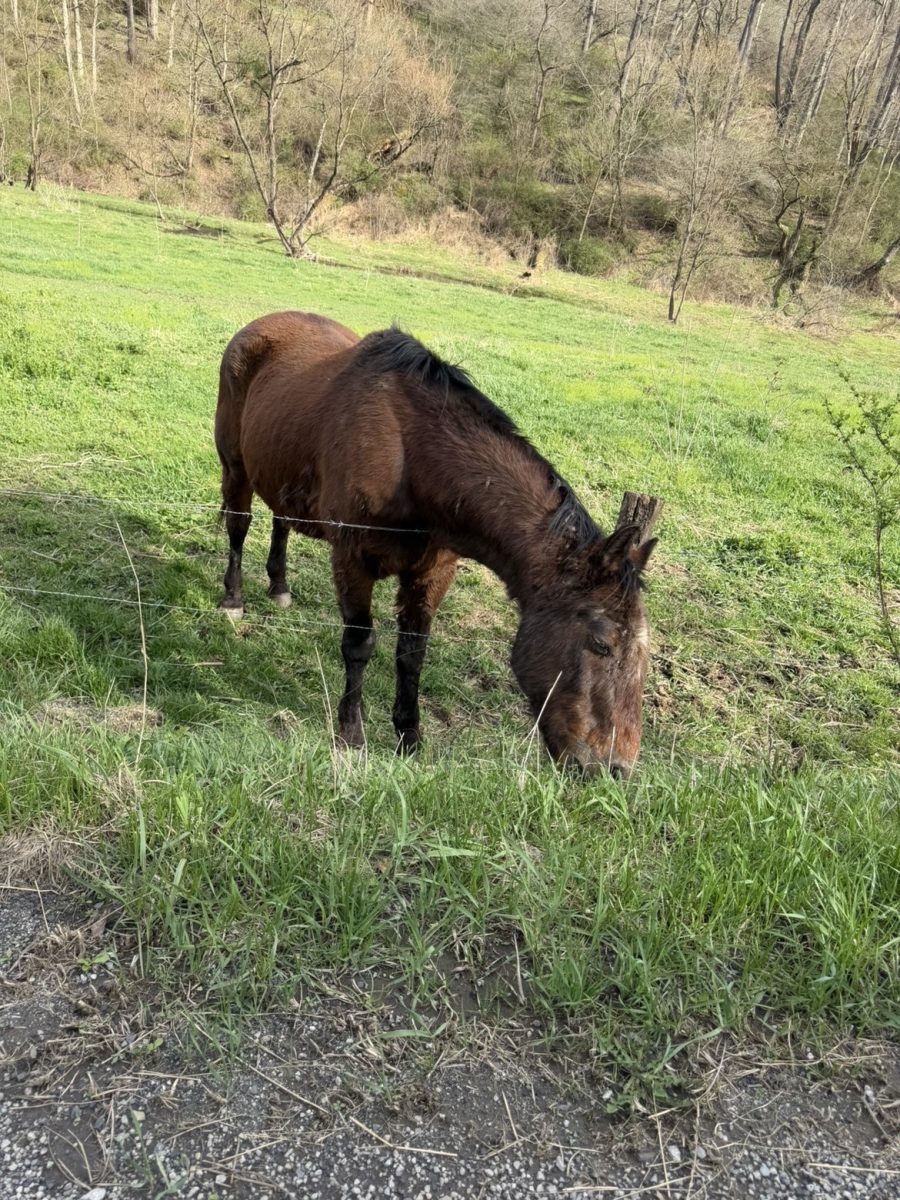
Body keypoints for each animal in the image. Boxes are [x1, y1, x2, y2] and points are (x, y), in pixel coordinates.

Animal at [214, 311, 659, 777]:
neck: (411, 458)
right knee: (239, 527)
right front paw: (351, 736)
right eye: (601, 644)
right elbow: (359, 645)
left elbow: (412, 653)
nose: (615, 768)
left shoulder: (432, 573)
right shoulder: (353, 562)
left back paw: (279, 586)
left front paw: (409, 738)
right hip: (236, 468)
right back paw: (233, 598)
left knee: (281, 521)